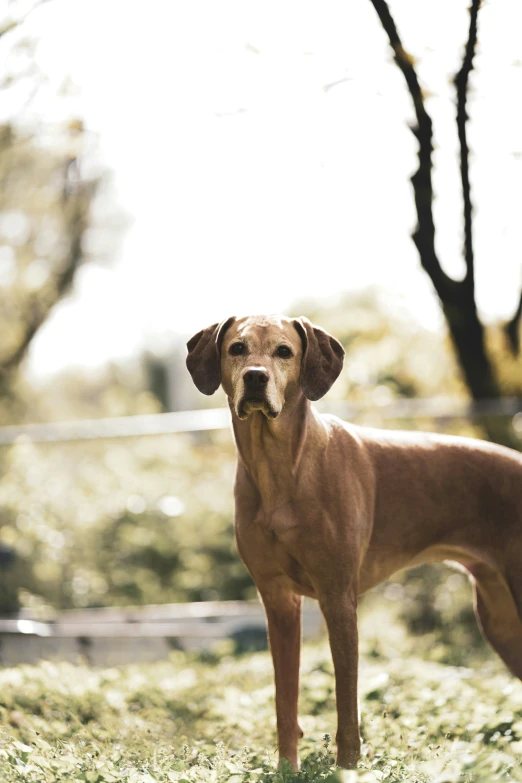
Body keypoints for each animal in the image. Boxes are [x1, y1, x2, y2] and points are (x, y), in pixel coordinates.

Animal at [186, 316, 520, 768]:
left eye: (284, 351)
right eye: (237, 348)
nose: (256, 377)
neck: (280, 468)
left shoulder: (338, 598)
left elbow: (346, 708)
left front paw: (346, 769)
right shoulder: (278, 602)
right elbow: (285, 703)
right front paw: (287, 768)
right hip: (501, 620)